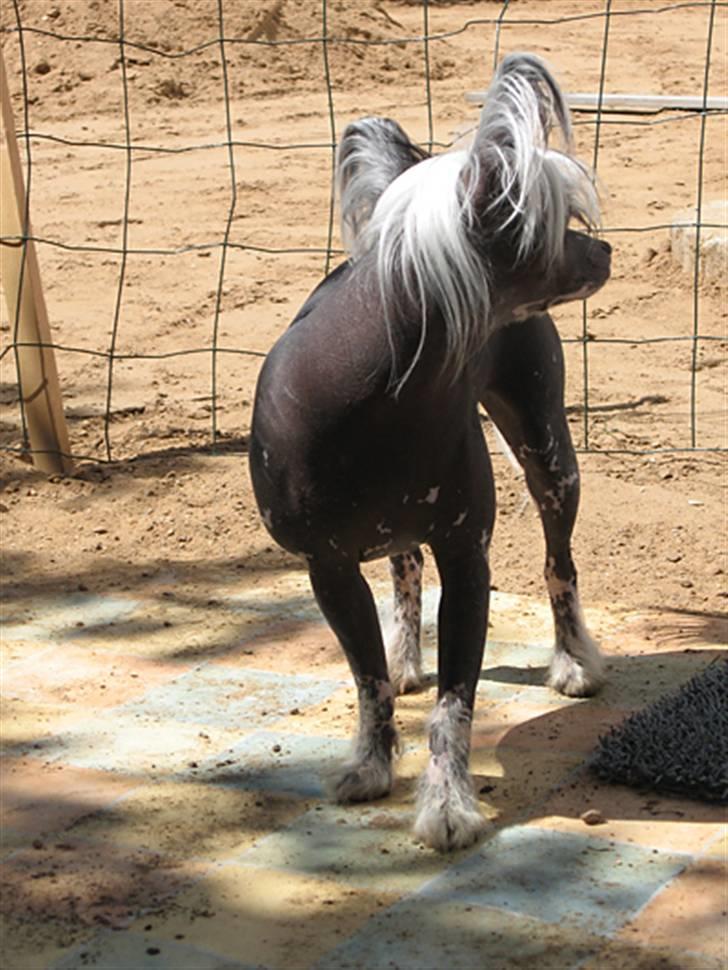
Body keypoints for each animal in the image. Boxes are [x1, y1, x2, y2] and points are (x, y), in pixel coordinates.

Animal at [249, 56, 608, 852]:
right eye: (551, 220)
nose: (605, 249)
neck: (379, 392)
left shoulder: (467, 556)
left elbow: (456, 705)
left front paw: (447, 805)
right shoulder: (327, 567)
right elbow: (368, 680)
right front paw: (370, 764)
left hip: (549, 455)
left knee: (559, 563)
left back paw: (573, 660)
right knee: (405, 571)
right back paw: (408, 654)